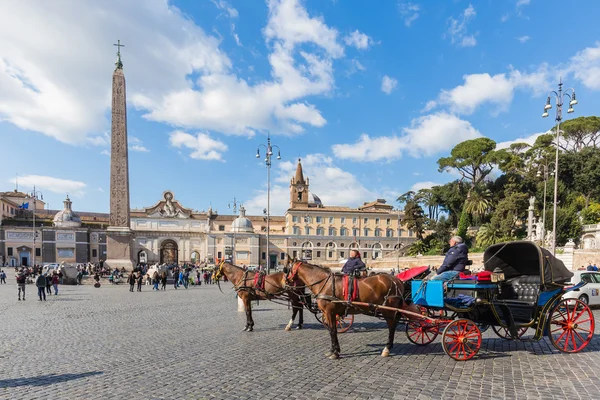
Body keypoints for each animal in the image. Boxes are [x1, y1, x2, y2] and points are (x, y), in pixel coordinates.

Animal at [284, 260, 418, 360]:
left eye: (286, 269)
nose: (285, 283)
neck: (324, 283)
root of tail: (397, 280)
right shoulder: (328, 313)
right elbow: (331, 330)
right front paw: (333, 350)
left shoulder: (330, 312)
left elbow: (333, 331)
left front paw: (335, 353)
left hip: (388, 310)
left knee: (391, 327)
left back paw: (387, 349)